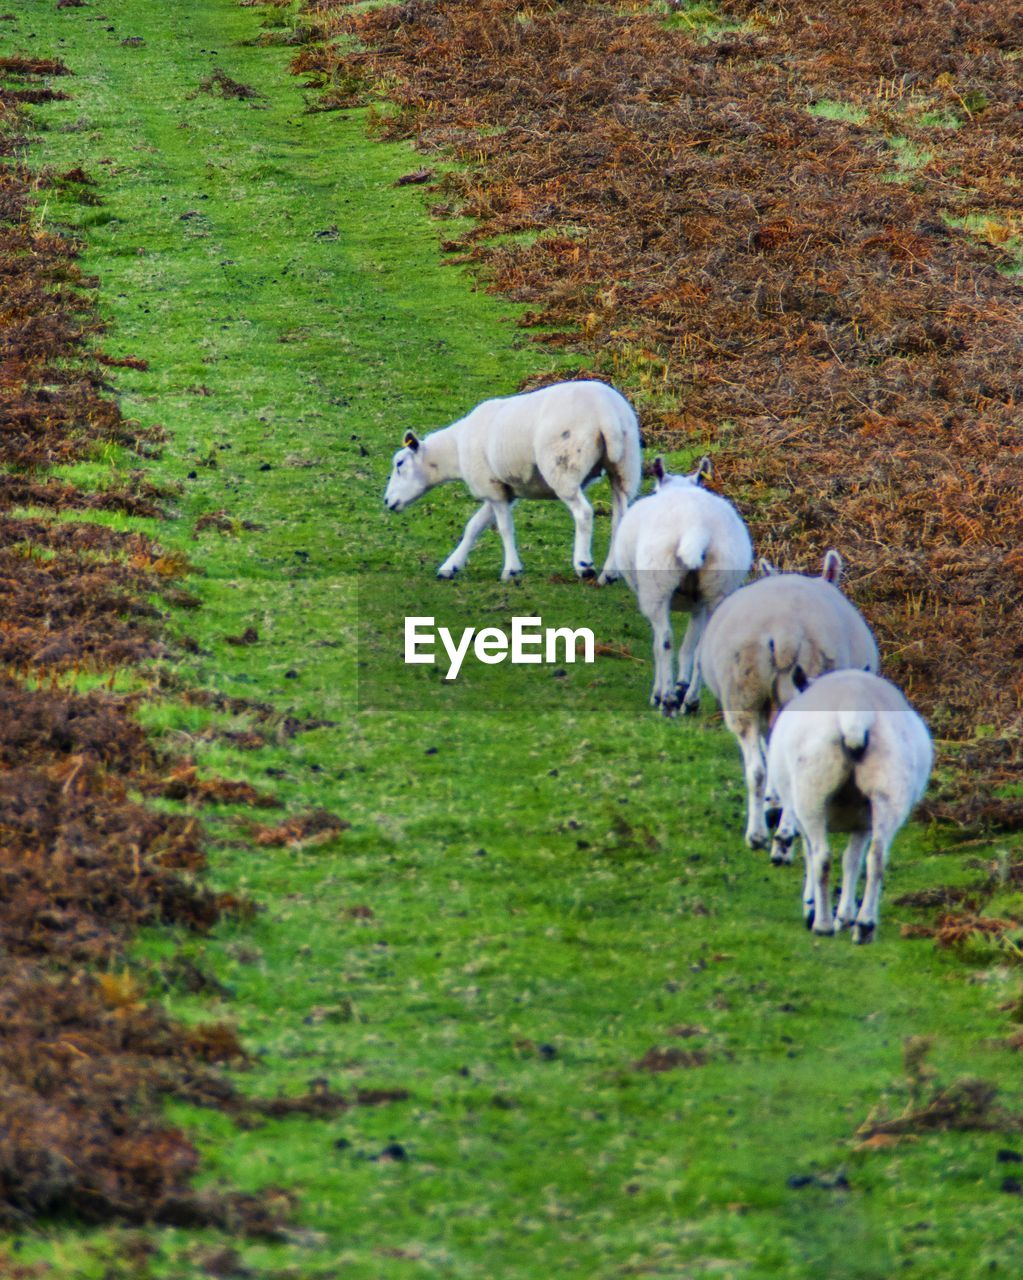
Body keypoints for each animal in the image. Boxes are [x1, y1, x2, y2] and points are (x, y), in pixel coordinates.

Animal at [381, 378, 640, 581]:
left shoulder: (491, 488)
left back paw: (584, 565)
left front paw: (511, 570)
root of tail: (605, 411)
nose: (386, 501)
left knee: (583, 513)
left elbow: (504, 528)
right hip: (625, 466)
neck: (455, 449)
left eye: (400, 464)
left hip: (563, 465)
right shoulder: (500, 488)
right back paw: (610, 574)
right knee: (620, 518)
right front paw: (450, 566)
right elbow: (474, 526)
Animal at [604, 458, 757, 721]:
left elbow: (659, 646)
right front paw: (681, 687)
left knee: (664, 642)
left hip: (657, 585)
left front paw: (662, 693)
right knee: (702, 647)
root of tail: (696, 530)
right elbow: (688, 648)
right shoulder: (698, 606)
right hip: (717, 588)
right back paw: (691, 701)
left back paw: (666, 700)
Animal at [706, 550, 880, 849]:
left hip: (741, 691)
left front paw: (771, 804)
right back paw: (786, 831)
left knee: (756, 768)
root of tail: (783, 630)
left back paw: (757, 835)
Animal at [763, 670, 932, 942]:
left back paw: (822, 924)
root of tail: (854, 710)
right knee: (877, 858)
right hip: (888, 791)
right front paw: (845, 915)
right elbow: (852, 861)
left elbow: (812, 855)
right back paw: (864, 926)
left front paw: (812, 906)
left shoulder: (802, 815)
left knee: (822, 857)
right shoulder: (862, 823)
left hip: (812, 792)